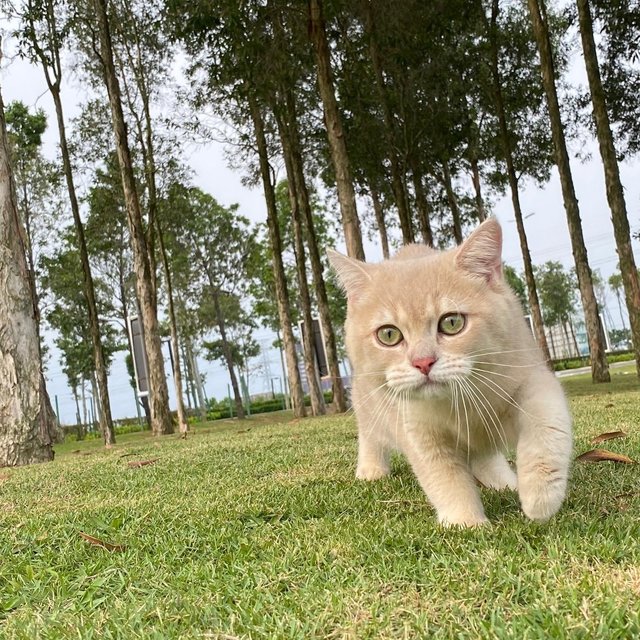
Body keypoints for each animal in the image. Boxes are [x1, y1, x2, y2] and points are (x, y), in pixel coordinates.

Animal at [328, 218, 572, 528]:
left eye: (452, 323)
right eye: (389, 334)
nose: (423, 362)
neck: (458, 403)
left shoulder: (527, 373)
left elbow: (546, 422)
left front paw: (540, 496)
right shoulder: (416, 427)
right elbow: (444, 475)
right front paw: (466, 522)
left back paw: (503, 480)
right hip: (367, 402)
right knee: (370, 433)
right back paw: (371, 469)